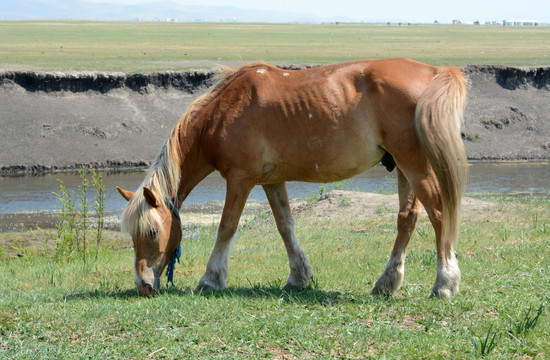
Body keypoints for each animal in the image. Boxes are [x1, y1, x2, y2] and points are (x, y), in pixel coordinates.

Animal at [117, 59, 470, 300]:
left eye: (152, 231)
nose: (143, 285)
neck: (225, 109)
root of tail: (434, 71)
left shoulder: (241, 178)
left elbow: (227, 227)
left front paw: (211, 279)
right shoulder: (271, 181)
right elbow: (285, 226)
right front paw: (299, 277)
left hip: (415, 165)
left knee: (439, 215)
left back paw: (444, 283)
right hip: (402, 167)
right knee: (407, 219)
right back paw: (387, 283)